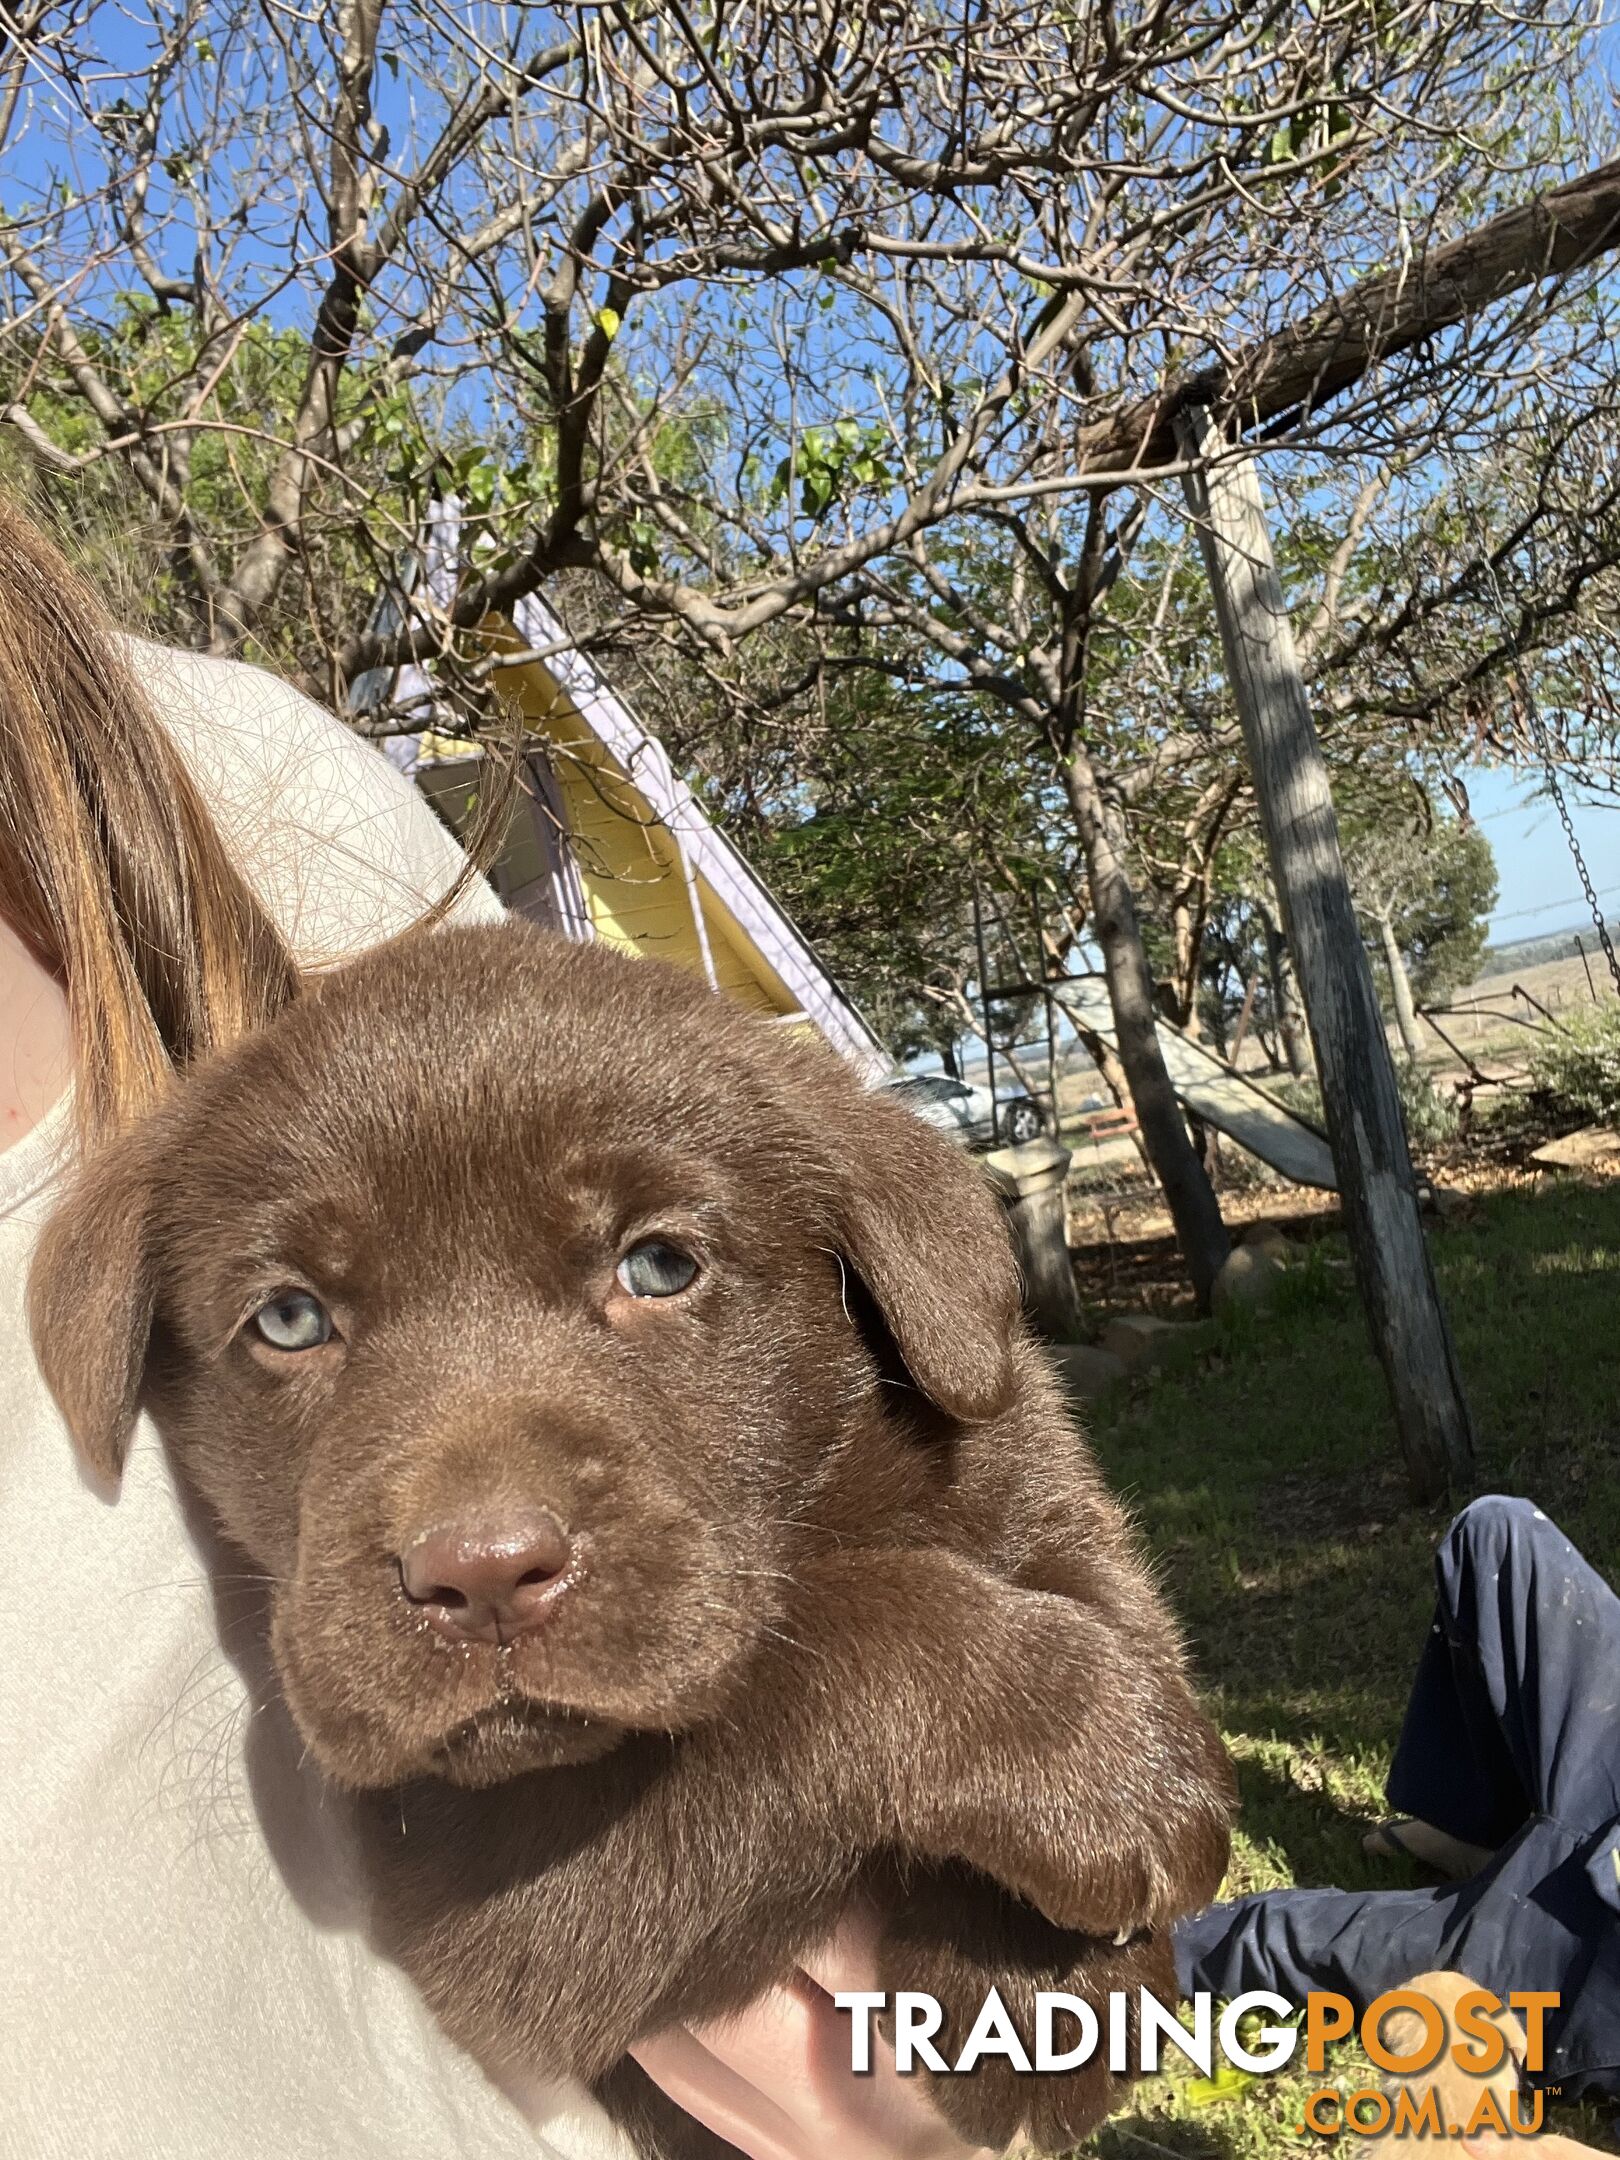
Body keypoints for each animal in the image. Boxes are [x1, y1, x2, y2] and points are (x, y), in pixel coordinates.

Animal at [28, 920, 1226, 2151]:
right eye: (288, 1319)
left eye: (659, 1265)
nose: (482, 1576)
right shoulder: (482, 1910)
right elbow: (823, 1656)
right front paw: (1086, 1762)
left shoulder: (1029, 1471)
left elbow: (1098, 1601)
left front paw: (1038, 1984)